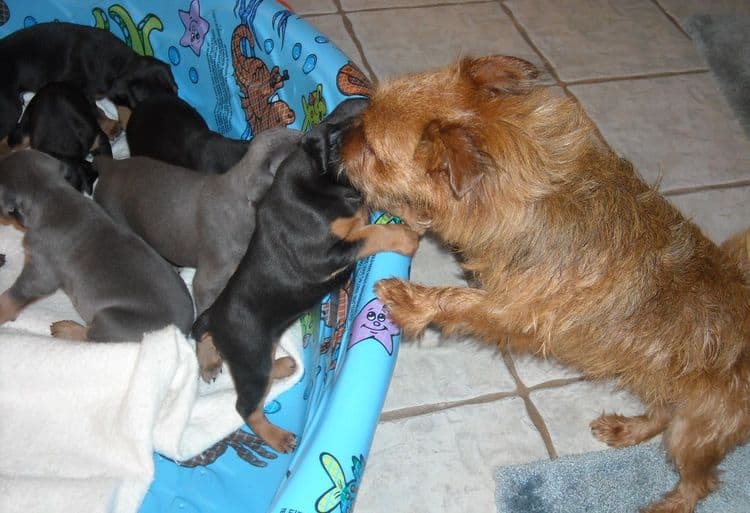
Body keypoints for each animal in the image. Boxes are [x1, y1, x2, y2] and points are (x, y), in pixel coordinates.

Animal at [0, 21, 177, 139]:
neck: (119, 61)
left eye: (177, 90)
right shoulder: (77, 87)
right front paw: (111, 126)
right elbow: (95, 110)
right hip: (11, 108)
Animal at [0, 148, 197, 340]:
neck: (52, 195)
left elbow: (13, 296)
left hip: (113, 320)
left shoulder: (40, 271)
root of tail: (183, 331)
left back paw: (66, 329)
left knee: (91, 335)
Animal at [191, 99, 420, 452]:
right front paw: (405, 237)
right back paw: (278, 437)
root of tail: (217, 316)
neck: (324, 181)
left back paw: (280, 365)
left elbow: (376, 205)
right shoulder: (322, 256)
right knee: (245, 406)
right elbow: (369, 235)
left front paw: (415, 214)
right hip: (251, 356)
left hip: (258, 347)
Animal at [342, 56, 750, 512]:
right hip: (665, 390)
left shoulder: (513, 311)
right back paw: (627, 430)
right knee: (661, 415)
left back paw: (668, 504)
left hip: (694, 430)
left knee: (700, 481)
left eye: (371, 148)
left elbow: (457, 299)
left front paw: (408, 299)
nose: (337, 139)